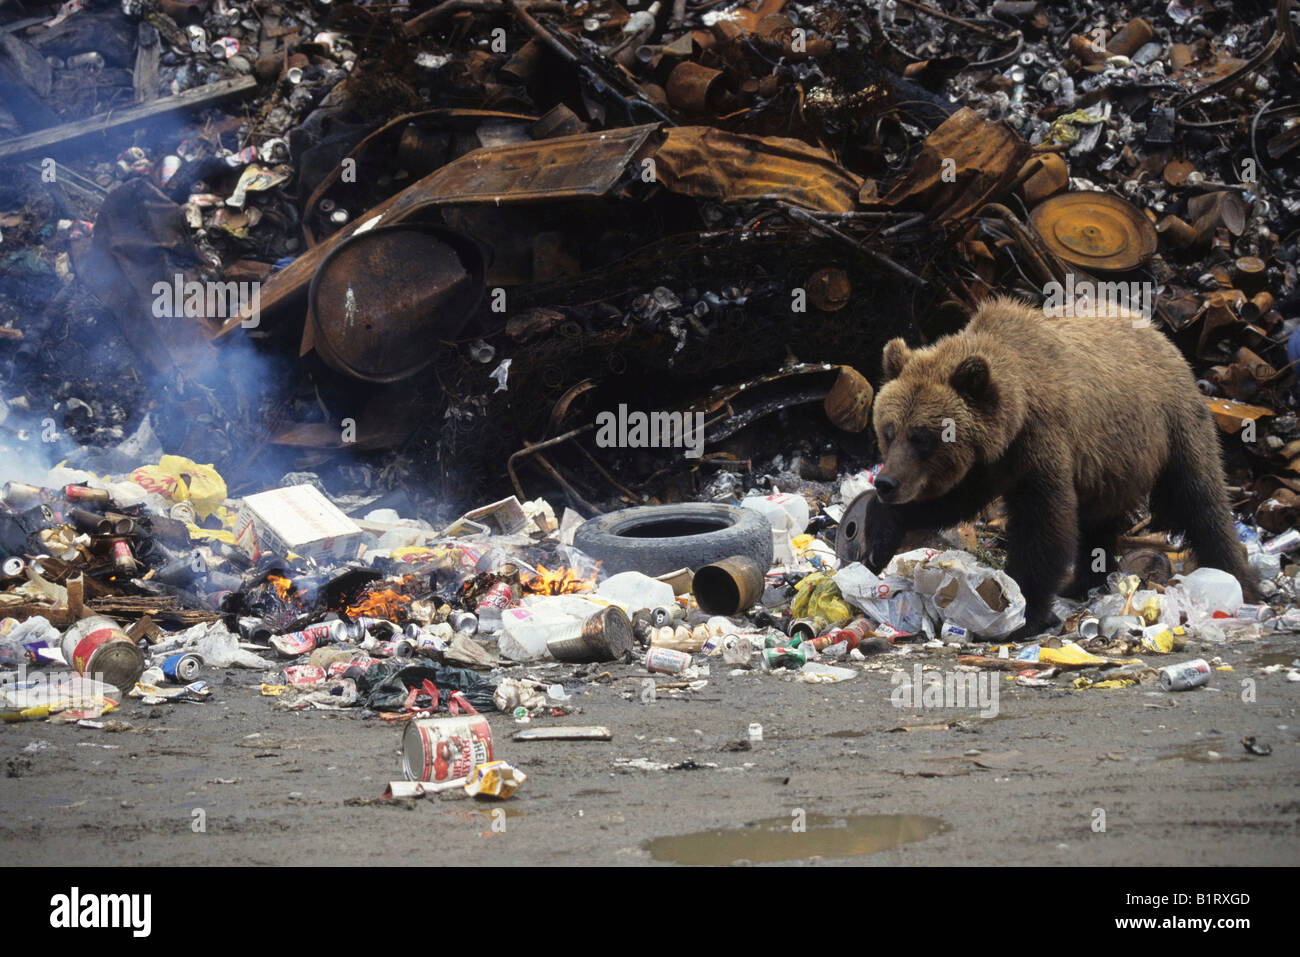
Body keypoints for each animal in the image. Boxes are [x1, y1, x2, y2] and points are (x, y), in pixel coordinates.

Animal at [863, 295, 1260, 640]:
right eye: (889, 431)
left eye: (921, 437)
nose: (886, 482)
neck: (1015, 412)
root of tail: (1159, 332)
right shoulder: (986, 463)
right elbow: (952, 502)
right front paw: (879, 533)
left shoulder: (1041, 443)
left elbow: (1044, 525)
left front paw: (1024, 614)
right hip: (1110, 464)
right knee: (1098, 523)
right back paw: (1083, 581)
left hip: (1171, 421)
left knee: (1199, 496)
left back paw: (1239, 579)